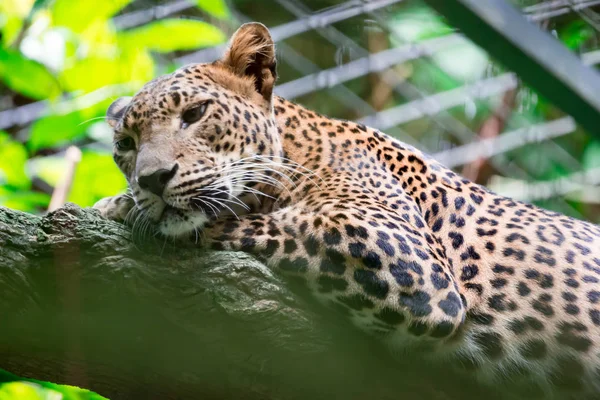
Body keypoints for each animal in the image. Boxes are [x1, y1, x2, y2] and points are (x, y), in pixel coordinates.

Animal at [94, 22, 600, 400]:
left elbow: (243, 221)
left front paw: (116, 206)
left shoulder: (405, 258)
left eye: (196, 113)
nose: (151, 179)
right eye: (126, 145)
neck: (295, 150)